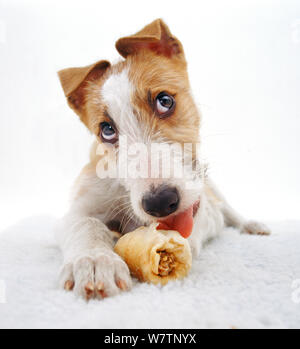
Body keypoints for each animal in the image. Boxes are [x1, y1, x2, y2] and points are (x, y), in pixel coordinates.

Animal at [55, 18, 270, 300]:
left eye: (165, 101)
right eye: (107, 130)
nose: (159, 202)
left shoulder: (202, 211)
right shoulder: (80, 205)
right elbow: (86, 223)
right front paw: (95, 259)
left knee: (227, 208)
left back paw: (251, 224)